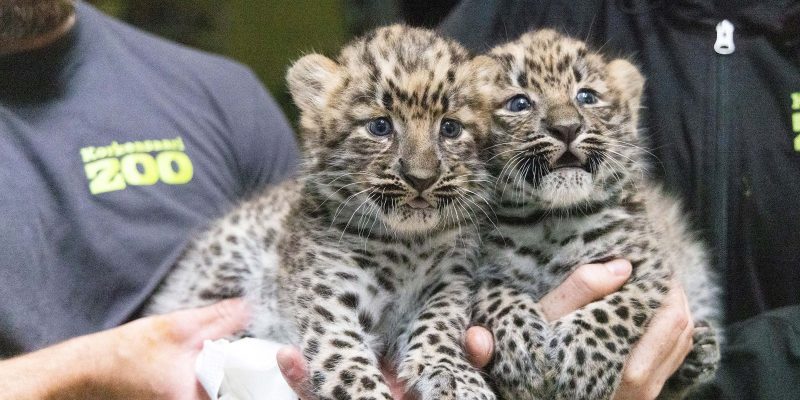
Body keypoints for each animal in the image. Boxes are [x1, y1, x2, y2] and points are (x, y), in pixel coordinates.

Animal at [142, 25, 499, 400]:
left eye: (450, 128)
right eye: (380, 126)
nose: (421, 178)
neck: (406, 244)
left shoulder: (447, 283)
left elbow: (440, 327)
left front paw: (459, 378)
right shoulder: (331, 307)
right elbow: (352, 369)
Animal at [471, 29, 721, 400]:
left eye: (587, 96)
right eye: (519, 103)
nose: (566, 128)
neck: (551, 222)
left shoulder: (647, 266)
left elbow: (616, 308)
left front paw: (582, 367)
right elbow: (494, 294)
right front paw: (522, 351)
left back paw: (699, 352)